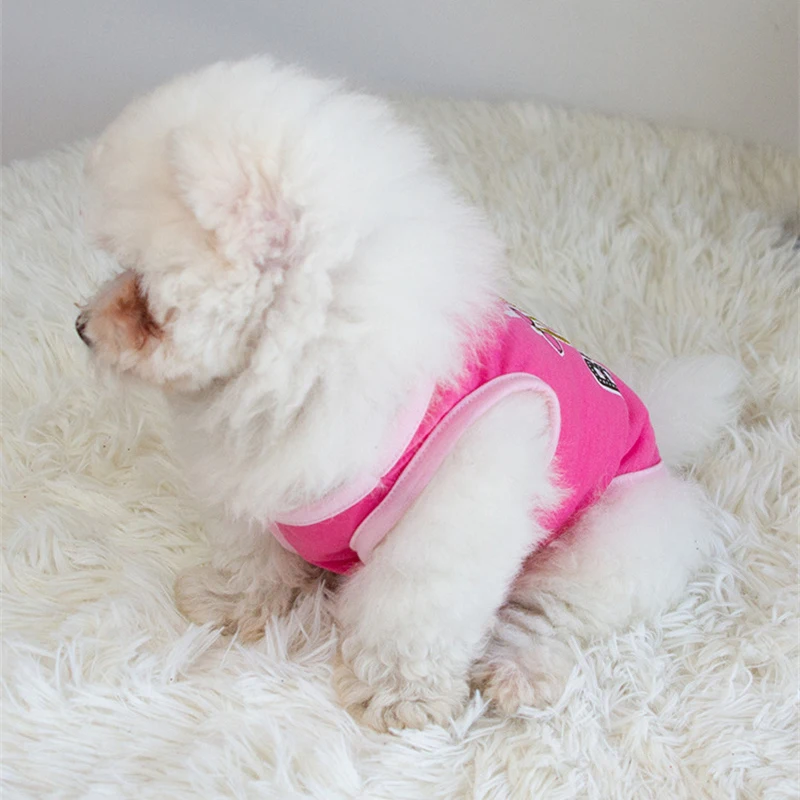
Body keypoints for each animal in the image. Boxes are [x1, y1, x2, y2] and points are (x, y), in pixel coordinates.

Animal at [76, 58, 741, 731]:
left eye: (146, 296)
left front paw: (399, 694)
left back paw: (516, 672)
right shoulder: (259, 484)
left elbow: (412, 612)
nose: (80, 327)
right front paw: (234, 598)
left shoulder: (454, 513)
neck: (305, 356)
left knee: (550, 612)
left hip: (610, 540)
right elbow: (252, 550)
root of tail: (654, 432)